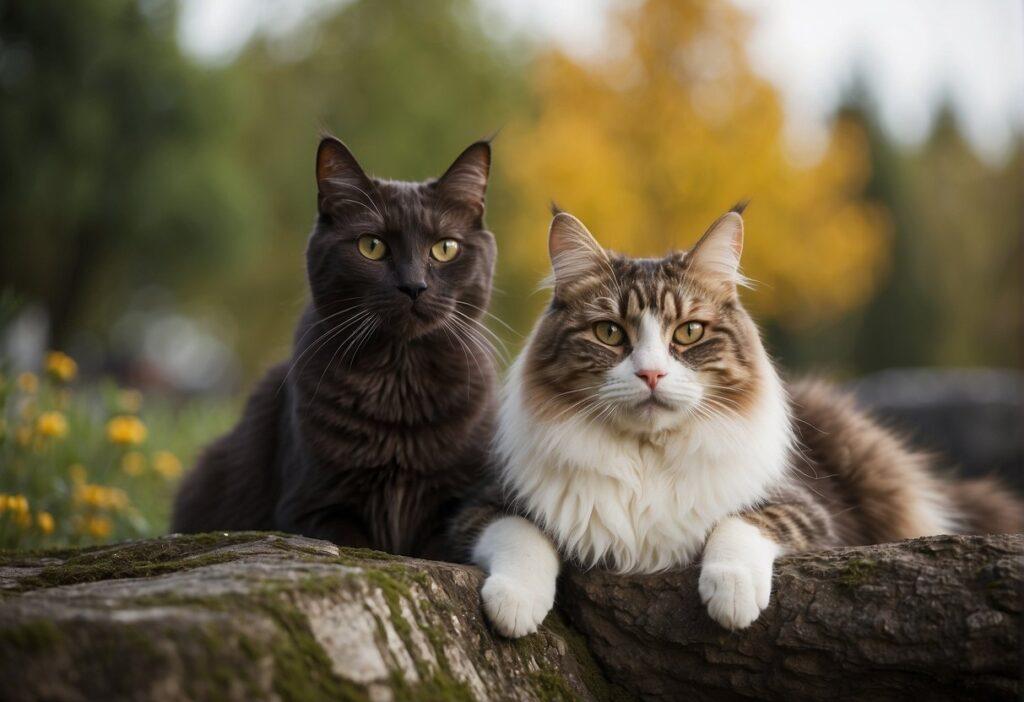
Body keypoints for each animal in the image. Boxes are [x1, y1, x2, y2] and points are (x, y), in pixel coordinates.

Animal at [169, 136, 497, 556]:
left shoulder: (458, 505)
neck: (399, 379)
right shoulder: (312, 508)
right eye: (371, 246)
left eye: (445, 248)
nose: (413, 286)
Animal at [458, 207, 1024, 638]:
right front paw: (515, 605)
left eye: (688, 333)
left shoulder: (810, 513)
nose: (651, 373)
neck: (646, 456)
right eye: (609, 333)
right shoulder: (475, 507)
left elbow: (739, 521)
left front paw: (731, 593)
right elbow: (521, 534)